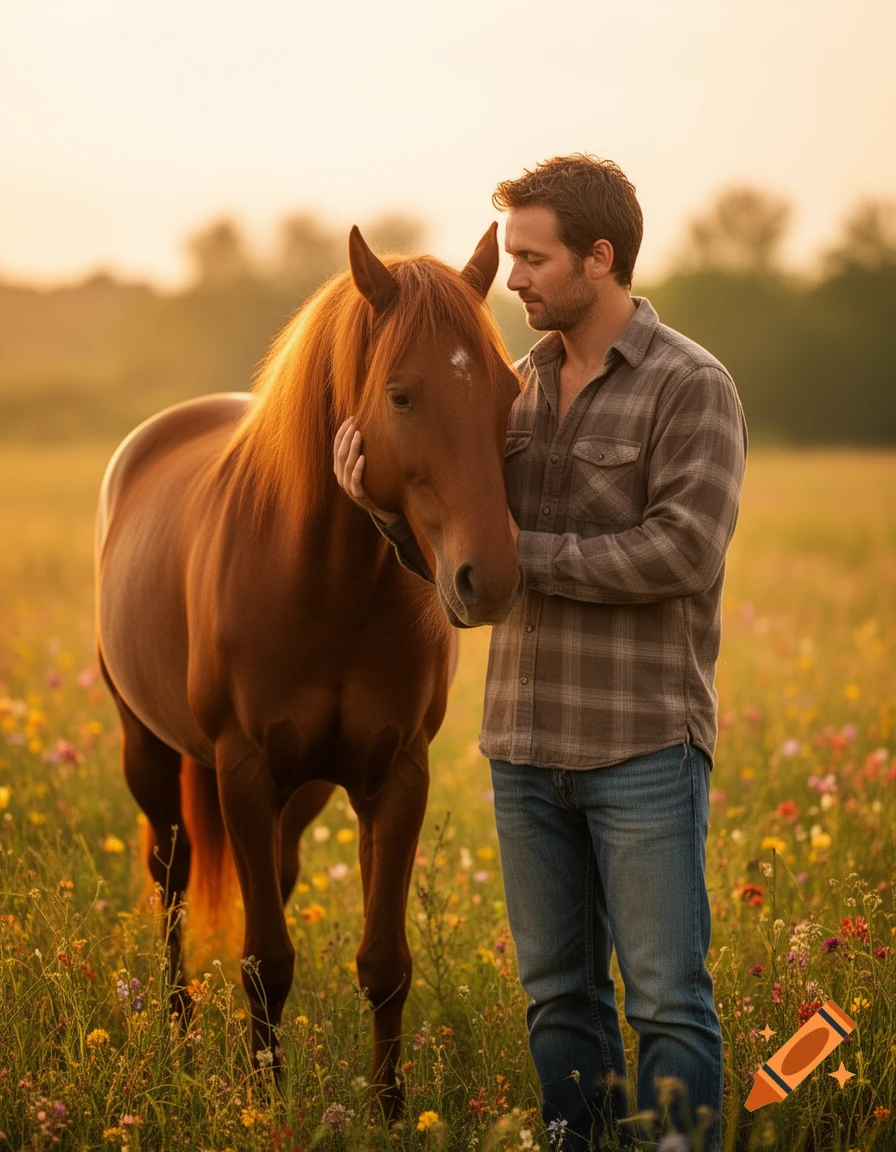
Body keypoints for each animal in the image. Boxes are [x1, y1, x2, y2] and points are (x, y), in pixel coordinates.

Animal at [95, 223, 523, 1115]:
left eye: (506, 390)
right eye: (401, 395)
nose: (490, 578)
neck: (329, 581)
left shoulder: (394, 775)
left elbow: (384, 962)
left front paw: (391, 1110)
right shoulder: (244, 770)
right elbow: (266, 959)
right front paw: (265, 1097)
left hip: (306, 789)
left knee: (276, 875)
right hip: (149, 749)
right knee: (173, 880)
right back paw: (182, 1037)